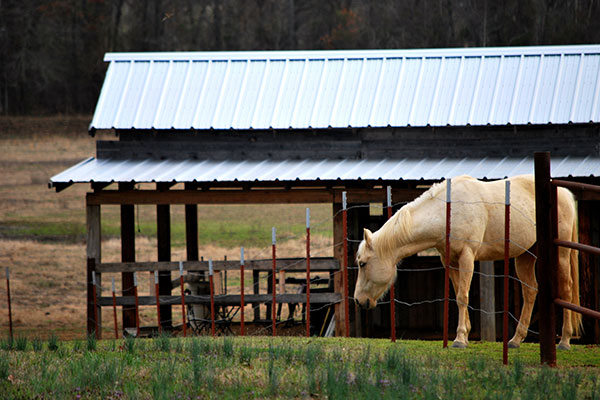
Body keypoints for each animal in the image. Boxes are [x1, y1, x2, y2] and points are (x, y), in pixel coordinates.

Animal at [356, 173, 580, 348]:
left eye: (362, 263)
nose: (358, 300)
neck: (448, 213)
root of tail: (564, 193)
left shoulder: (467, 256)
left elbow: (463, 296)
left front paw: (460, 339)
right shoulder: (450, 261)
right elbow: (457, 295)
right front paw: (464, 334)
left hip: (560, 254)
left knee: (566, 289)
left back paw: (564, 341)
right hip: (525, 255)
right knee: (530, 291)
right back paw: (516, 340)